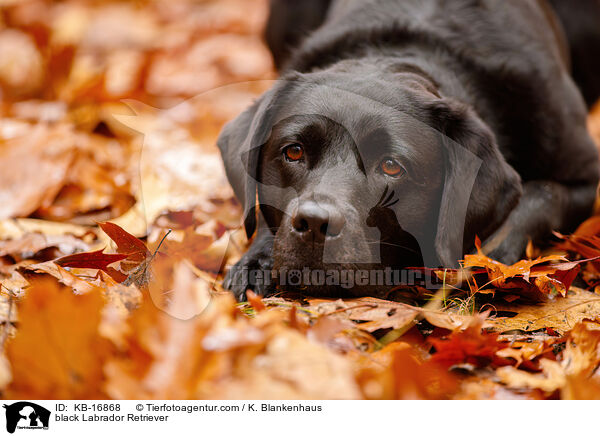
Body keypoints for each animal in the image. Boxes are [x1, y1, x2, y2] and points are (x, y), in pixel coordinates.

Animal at [219, 0, 600, 300]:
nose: (315, 223)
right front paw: (257, 260)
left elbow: (540, 197)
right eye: (294, 151)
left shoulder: (585, 176)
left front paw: (490, 259)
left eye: (391, 166)